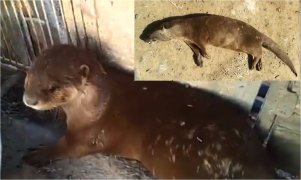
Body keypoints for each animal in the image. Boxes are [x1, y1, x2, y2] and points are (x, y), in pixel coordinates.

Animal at [22, 44, 274, 179]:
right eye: (28, 77)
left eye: (52, 87)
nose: (28, 100)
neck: (95, 106)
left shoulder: (90, 133)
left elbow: (70, 147)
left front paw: (37, 153)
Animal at [139, 13, 296, 76]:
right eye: (148, 33)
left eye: (152, 34)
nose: (144, 38)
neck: (183, 29)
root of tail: (258, 33)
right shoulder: (188, 40)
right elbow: (195, 50)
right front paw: (200, 61)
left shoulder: (197, 36)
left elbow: (202, 47)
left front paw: (207, 56)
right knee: (260, 52)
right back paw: (259, 66)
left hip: (249, 44)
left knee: (259, 52)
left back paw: (252, 66)